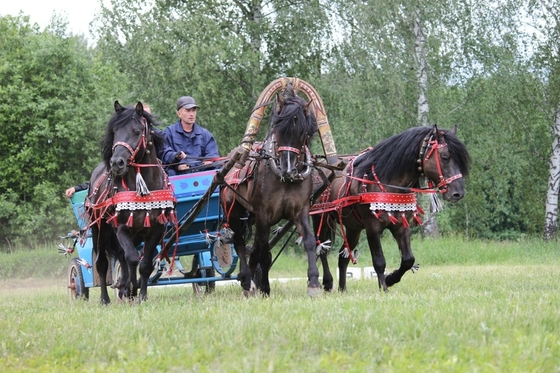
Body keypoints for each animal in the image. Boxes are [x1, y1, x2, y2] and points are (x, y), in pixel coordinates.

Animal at [83, 101, 173, 302]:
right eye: (115, 131)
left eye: (137, 131)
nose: (117, 163)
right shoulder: (121, 228)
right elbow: (132, 258)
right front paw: (131, 289)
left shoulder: (156, 229)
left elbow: (145, 263)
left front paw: (141, 295)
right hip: (99, 229)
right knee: (103, 263)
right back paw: (106, 298)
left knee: (122, 257)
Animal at [222, 85, 322, 294]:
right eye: (279, 129)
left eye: (302, 133)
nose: (287, 167)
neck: (284, 179)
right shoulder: (263, 214)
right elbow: (264, 252)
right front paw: (265, 287)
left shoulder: (300, 210)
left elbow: (309, 240)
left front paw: (314, 282)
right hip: (234, 211)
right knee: (240, 242)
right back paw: (246, 280)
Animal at [312, 124, 470, 290]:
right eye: (445, 157)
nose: (458, 193)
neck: (388, 183)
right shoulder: (372, 227)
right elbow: (379, 262)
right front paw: (384, 288)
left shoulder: (401, 226)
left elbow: (408, 260)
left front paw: (390, 279)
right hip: (320, 217)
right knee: (322, 249)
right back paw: (328, 282)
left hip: (353, 228)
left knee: (343, 256)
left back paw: (343, 289)